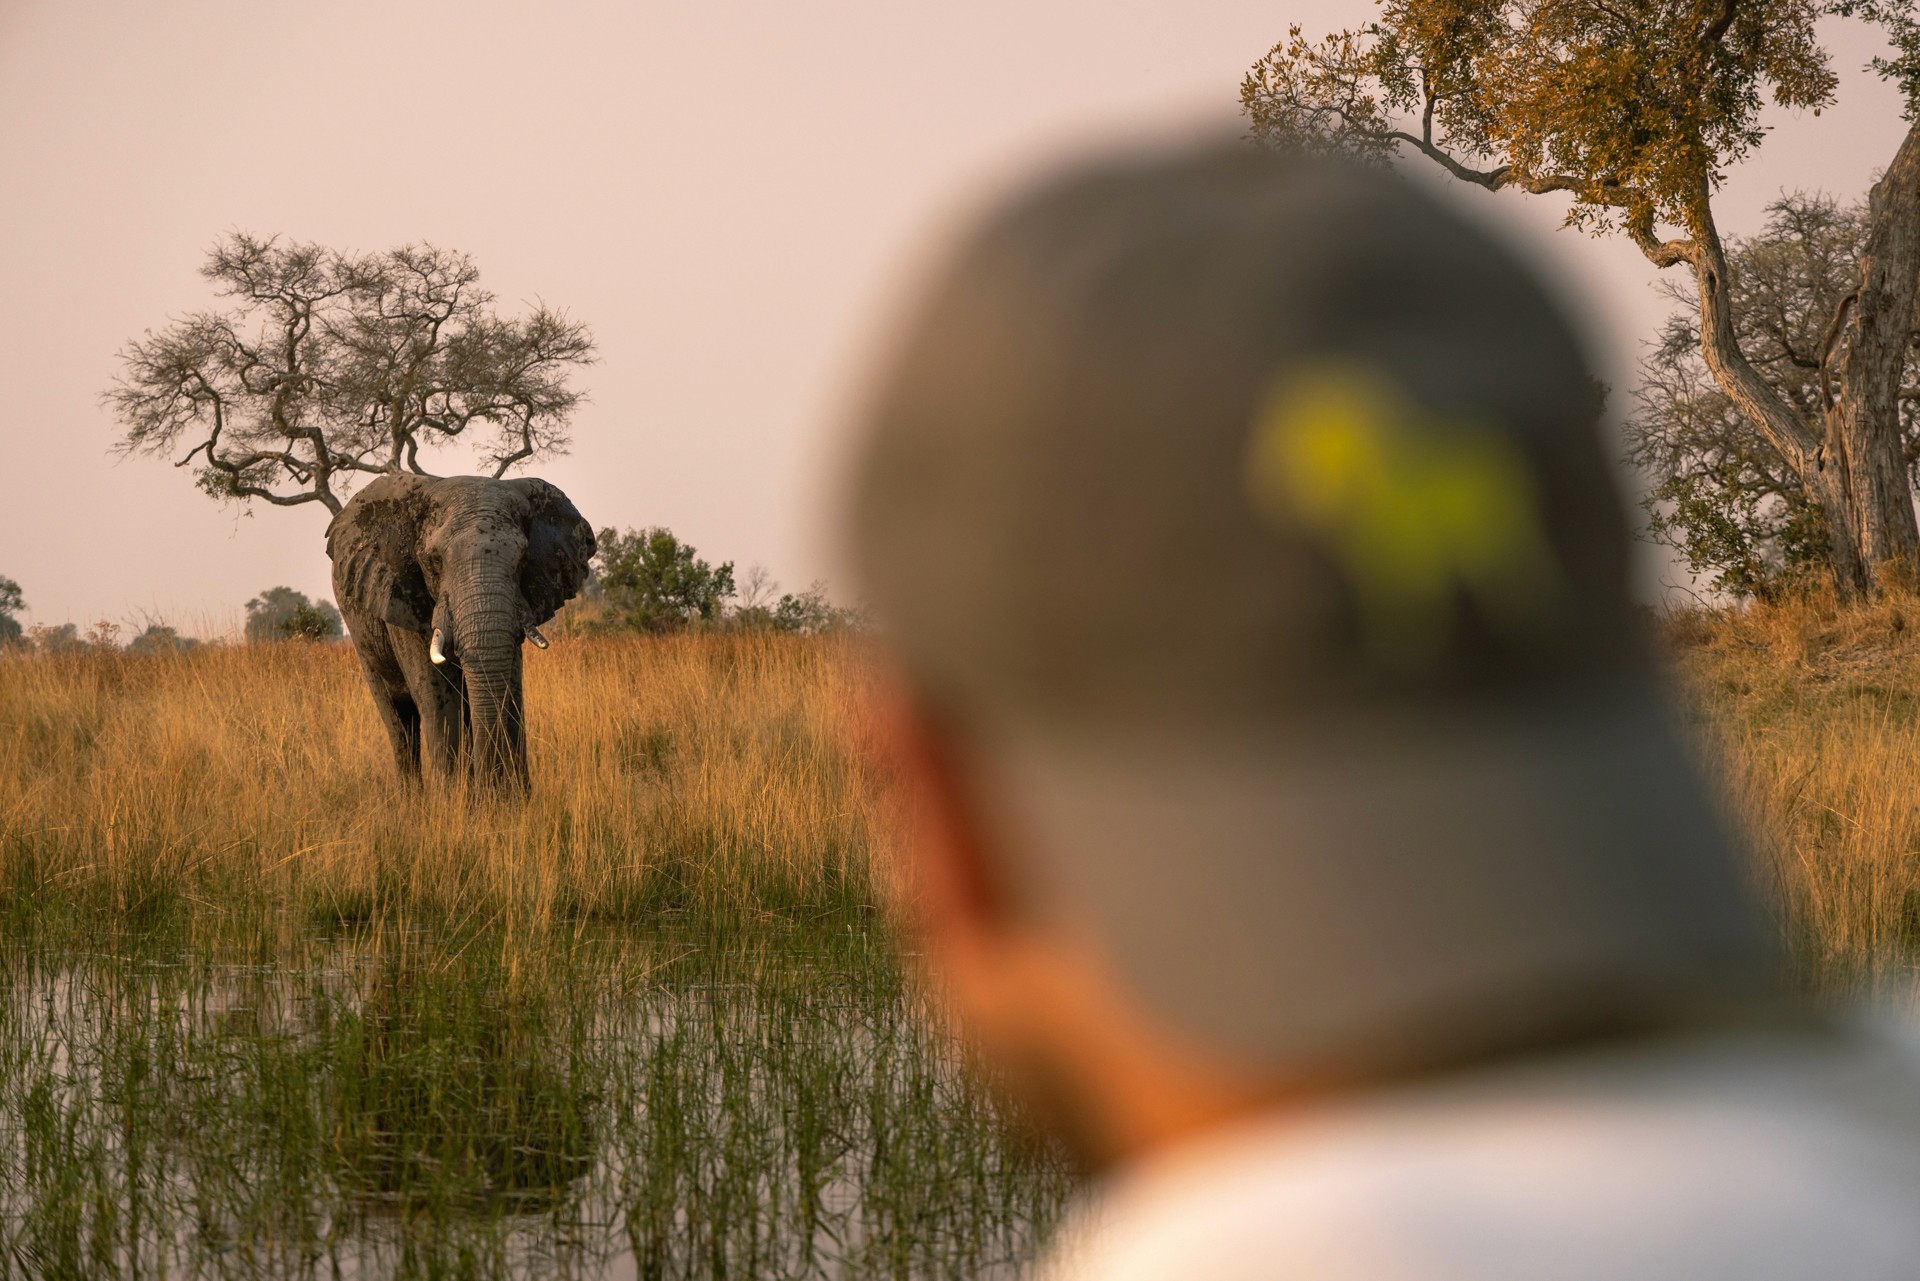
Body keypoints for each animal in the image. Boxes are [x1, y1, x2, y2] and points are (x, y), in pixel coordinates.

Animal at [326, 473, 595, 787]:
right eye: (434, 561)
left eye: (523, 559)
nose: (490, 787)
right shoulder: (402, 599)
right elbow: (436, 694)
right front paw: (457, 798)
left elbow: (511, 687)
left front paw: (512, 796)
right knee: (400, 722)